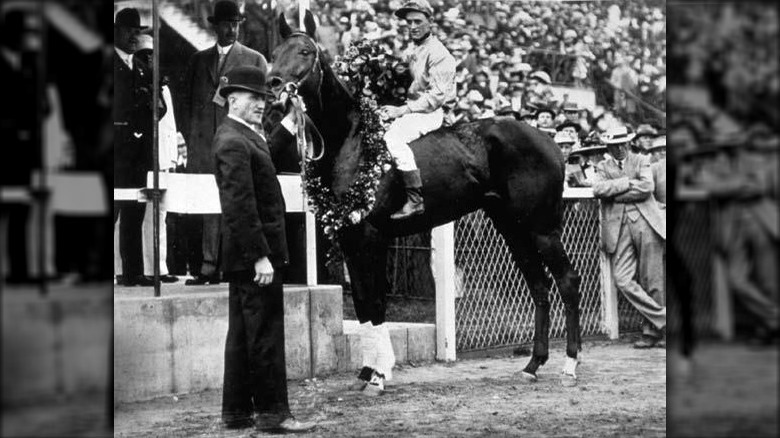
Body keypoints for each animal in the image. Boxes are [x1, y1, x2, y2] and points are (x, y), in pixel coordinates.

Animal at [268, 11, 580, 384]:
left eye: (304, 51)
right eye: (275, 51)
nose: (272, 83)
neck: (352, 140)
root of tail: (552, 143)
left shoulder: (372, 237)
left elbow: (375, 302)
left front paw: (380, 373)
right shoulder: (350, 237)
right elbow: (361, 303)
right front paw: (367, 370)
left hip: (542, 229)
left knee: (566, 281)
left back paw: (570, 363)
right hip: (513, 228)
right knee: (539, 286)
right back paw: (534, 363)